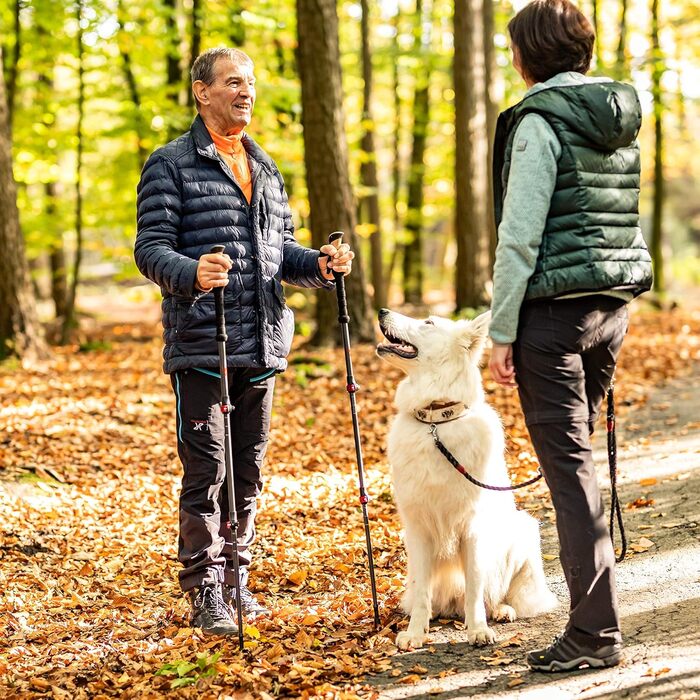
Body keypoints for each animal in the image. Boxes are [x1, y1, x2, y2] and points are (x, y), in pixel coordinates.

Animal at [378, 312, 556, 652]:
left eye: (428, 322)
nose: (381, 312)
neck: (436, 423)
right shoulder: (417, 530)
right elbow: (422, 591)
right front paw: (416, 632)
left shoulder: (472, 529)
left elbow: (475, 587)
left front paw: (478, 630)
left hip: (524, 533)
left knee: (498, 594)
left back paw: (502, 610)